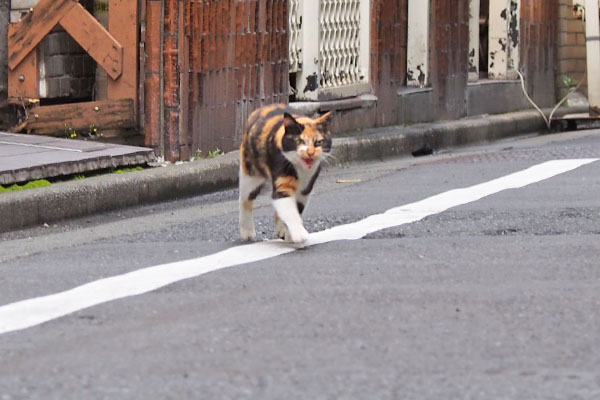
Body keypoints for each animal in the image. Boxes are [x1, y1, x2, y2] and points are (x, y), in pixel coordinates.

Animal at [239, 104, 332, 242]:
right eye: (299, 141)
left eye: (318, 143)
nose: (310, 152)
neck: (301, 171)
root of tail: (262, 108)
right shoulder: (282, 181)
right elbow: (289, 210)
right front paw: (299, 234)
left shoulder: (305, 190)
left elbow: (296, 209)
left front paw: (289, 235)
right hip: (251, 174)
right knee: (245, 199)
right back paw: (247, 232)